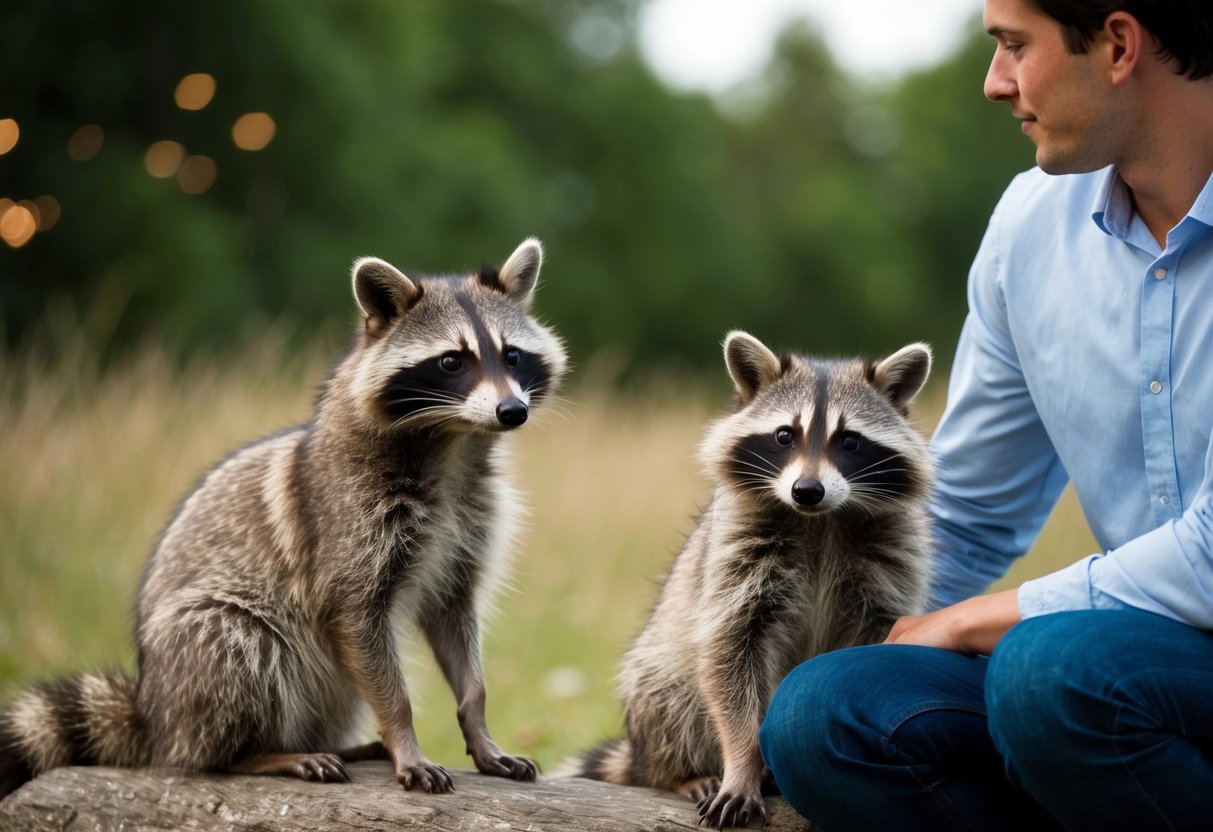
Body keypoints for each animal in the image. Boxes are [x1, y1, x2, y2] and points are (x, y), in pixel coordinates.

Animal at [0, 238, 567, 800]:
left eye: (512, 355)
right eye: (452, 361)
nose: (512, 411)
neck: (452, 442)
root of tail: (155, 716)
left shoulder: (466, 529)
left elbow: (457, 625)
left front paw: (480, 731)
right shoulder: (348, 524)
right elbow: (363, 634)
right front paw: (405, 739)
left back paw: (339, 745)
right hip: (203, 652)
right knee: (242, 647)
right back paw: (260, 753)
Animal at [568, 331, 933, 828]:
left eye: (850, 441)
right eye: (785, 435)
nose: (807, 490)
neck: (819, 520)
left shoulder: (891, 559)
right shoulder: (736, 556)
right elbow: (729, 656)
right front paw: (741, 764)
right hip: (659, 679)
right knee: (670, 694)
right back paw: (681, 772)